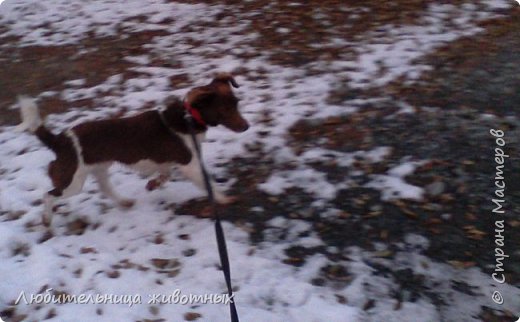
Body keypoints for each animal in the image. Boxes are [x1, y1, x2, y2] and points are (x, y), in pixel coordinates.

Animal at [17, 73, 249, 226]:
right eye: (226, 108)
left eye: (237, 102)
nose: (247, 126)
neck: (190, 117)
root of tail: (60, 140)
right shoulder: (190, 165)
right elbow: (209, 185)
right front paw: (224, 199)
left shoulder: (168, 162)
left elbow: (165, 174)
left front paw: (153, 184)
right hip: (71, 181)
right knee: (49, 195)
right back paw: (47, 219)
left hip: (99, 168)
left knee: (105, 188)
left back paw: (124, 202)